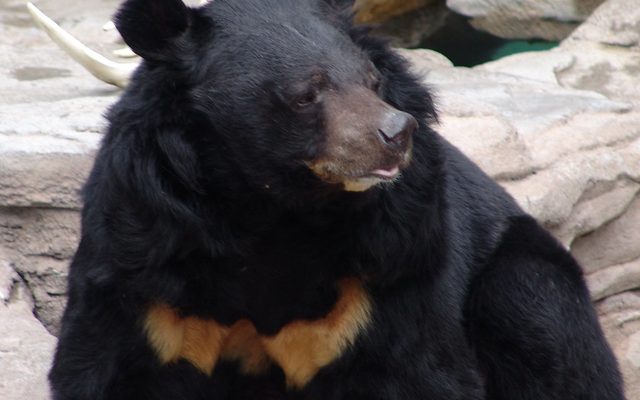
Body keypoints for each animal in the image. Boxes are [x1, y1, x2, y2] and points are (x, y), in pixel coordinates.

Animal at [48, 0, 625, 399]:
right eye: (307, 93)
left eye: (372, 81)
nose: (396, 133)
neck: (267, 207)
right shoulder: (143, 253)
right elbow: (105, 366)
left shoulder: (392, 258)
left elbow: (417, 367)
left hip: (526, 275)